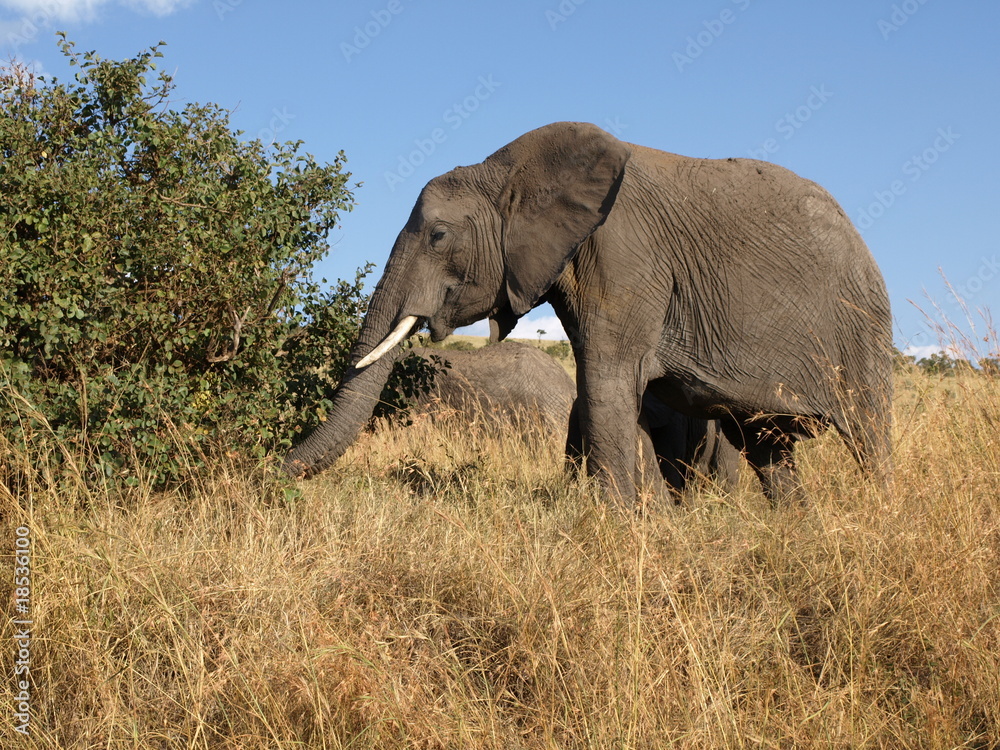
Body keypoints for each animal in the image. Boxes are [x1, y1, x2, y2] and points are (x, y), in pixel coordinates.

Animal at [284, 122, 892, 504]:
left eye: (437, 235)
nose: (270, 469)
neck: (508, 168)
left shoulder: (625, 255)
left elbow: (607, 380)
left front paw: (620, 524)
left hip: (861, 323)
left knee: (868, 435)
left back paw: (877, 516)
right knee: (769, 450)